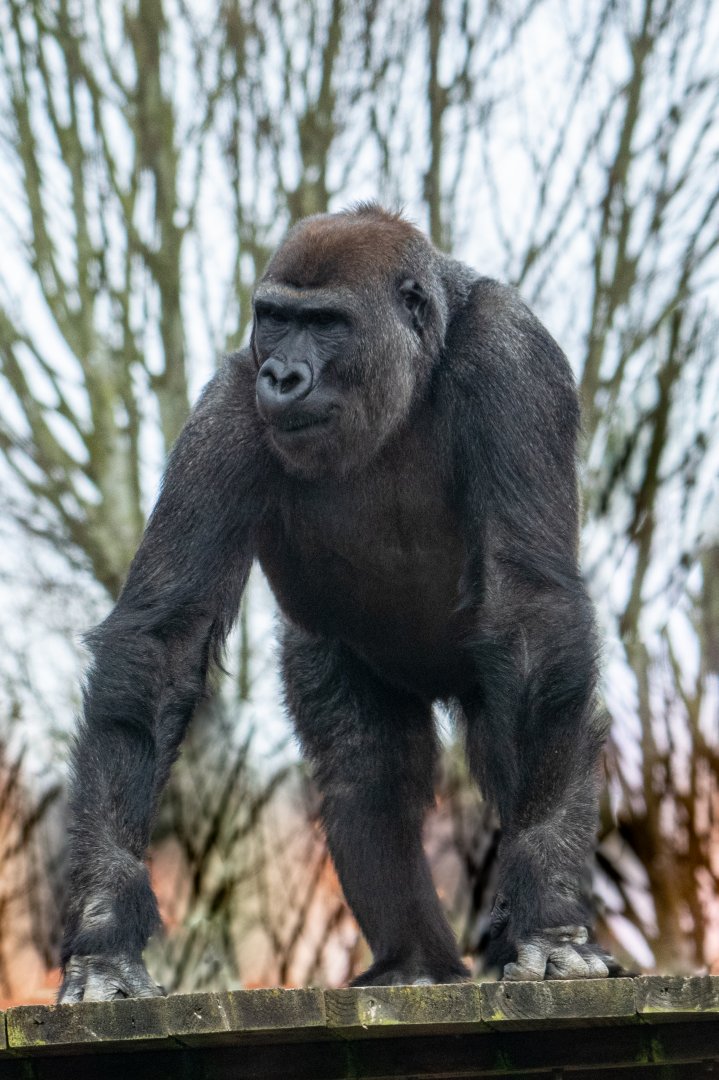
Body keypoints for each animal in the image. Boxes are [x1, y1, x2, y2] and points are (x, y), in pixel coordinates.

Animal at [58, 203, 619, 1001]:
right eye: (275, 318)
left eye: (326, 323)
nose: (282, 374)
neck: (416, 368)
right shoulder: (228, 405)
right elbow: (161, 643)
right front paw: (106, 934)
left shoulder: (512, 354)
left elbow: (531, 615)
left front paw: (549, 922)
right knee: (365, 768)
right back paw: (414, 960)